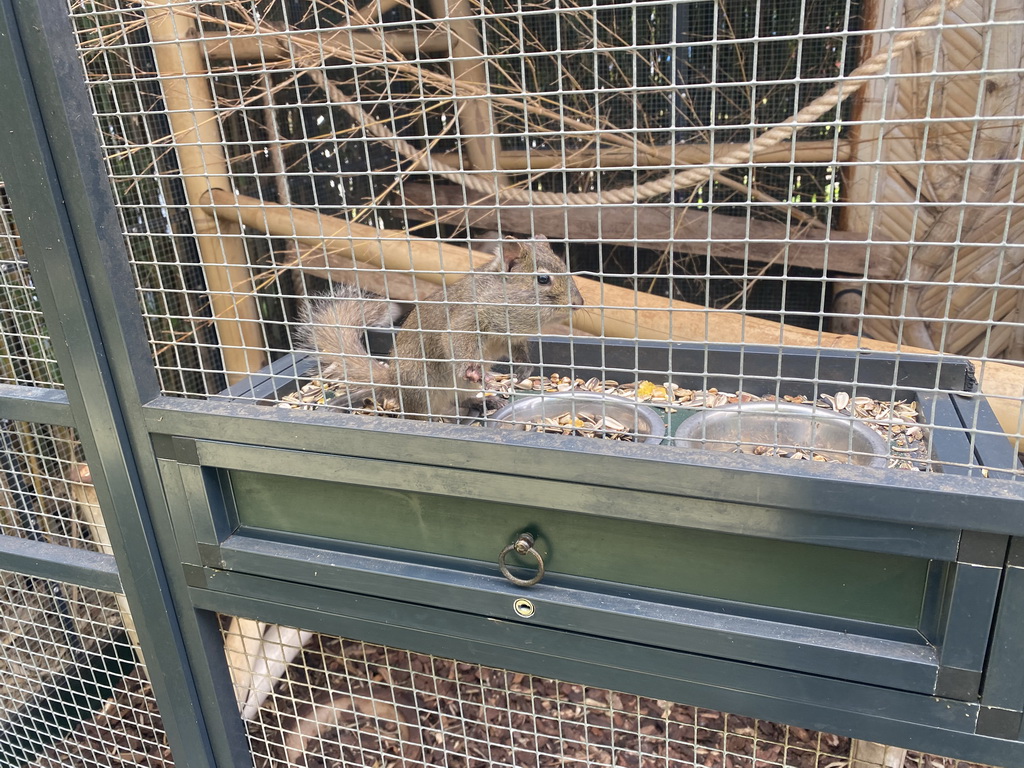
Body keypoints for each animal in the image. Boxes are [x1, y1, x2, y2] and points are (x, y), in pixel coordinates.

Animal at [296, 237, 585, 423]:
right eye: (543, 279)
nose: (579, 303)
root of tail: (392, 383)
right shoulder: (464, 320)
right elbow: (456, 344)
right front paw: (476, 371)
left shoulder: (511, 336)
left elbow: (518, 350)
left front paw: (524, 368)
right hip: (421, 387)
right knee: (422, 414)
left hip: (456, 389)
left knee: (458, 401)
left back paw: (484, 401)